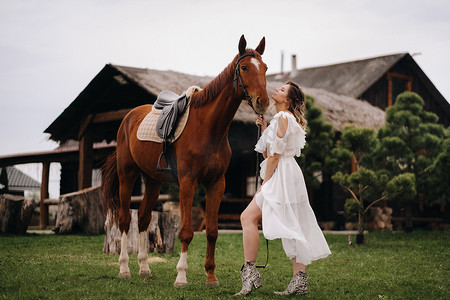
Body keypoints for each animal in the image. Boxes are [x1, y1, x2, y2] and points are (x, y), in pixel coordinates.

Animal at [102, 35, 268, 286]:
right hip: (127, 175)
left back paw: (144, 268)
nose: (263, 102)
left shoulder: (216, 183)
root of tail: (129, 117)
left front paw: (211, 276)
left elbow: (212, 231)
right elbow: (187, 232)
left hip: (153, 180)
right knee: (123, 220)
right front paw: (181, 276)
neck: (208, 128)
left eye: (265, 68)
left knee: (143, 218)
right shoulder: (188, 182)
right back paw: (124, 269)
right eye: (244, 68)